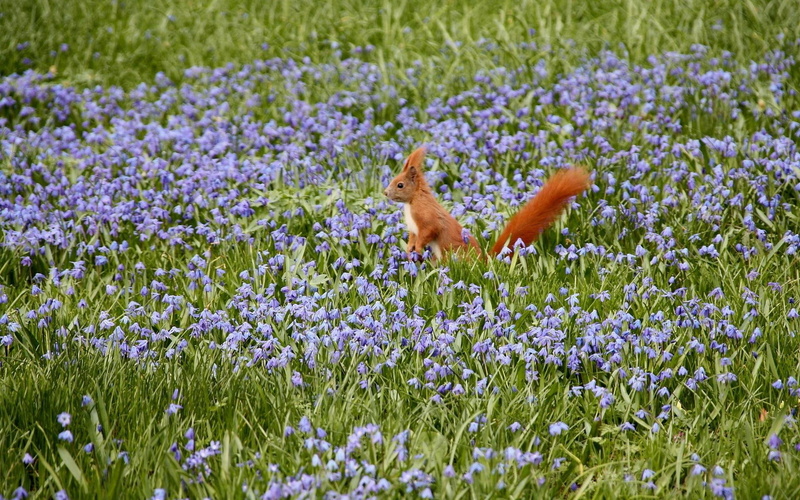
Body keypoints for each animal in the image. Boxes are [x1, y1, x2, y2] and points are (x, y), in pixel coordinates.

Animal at [383, 146, 591, 261]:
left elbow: (429, 232)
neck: (412, 202)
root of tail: (483, 263)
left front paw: (417, 249)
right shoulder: (413, 228)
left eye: (400, 185)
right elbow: (412, 237)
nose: (385, 193)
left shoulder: (427, 218)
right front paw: (409, 249)